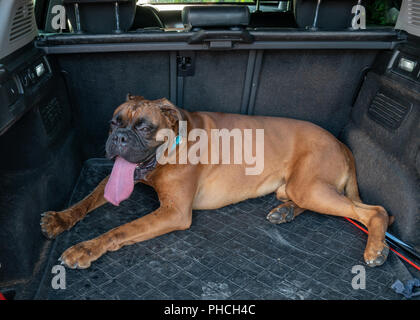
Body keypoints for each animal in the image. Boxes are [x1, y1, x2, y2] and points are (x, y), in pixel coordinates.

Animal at [41, 95, 392, 270]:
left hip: (311, 187)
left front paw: (85, 248)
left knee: (374, 211)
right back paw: (286, 212)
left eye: (143, 127)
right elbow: (86, 201)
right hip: (297, 188)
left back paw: (376, 249)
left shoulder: (174, 213)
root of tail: (340, 142)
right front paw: (60, 218)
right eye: (114, 122)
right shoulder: (116, 181)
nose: (119, 138)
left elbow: (120, 230)